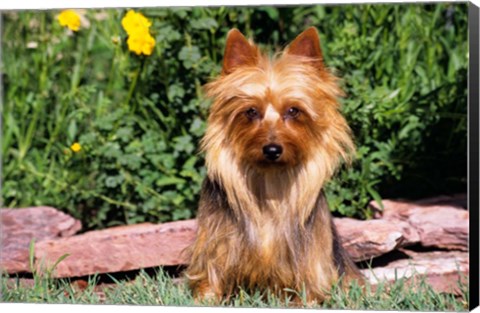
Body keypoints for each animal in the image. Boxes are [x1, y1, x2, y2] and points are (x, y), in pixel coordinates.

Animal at [186, 26, 362, 302]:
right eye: (250, 112)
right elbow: (212, 274)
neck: (270, 181)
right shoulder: (215, 243)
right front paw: (207, 299)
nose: (272, 149)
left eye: (293, 111)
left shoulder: (312, 255)